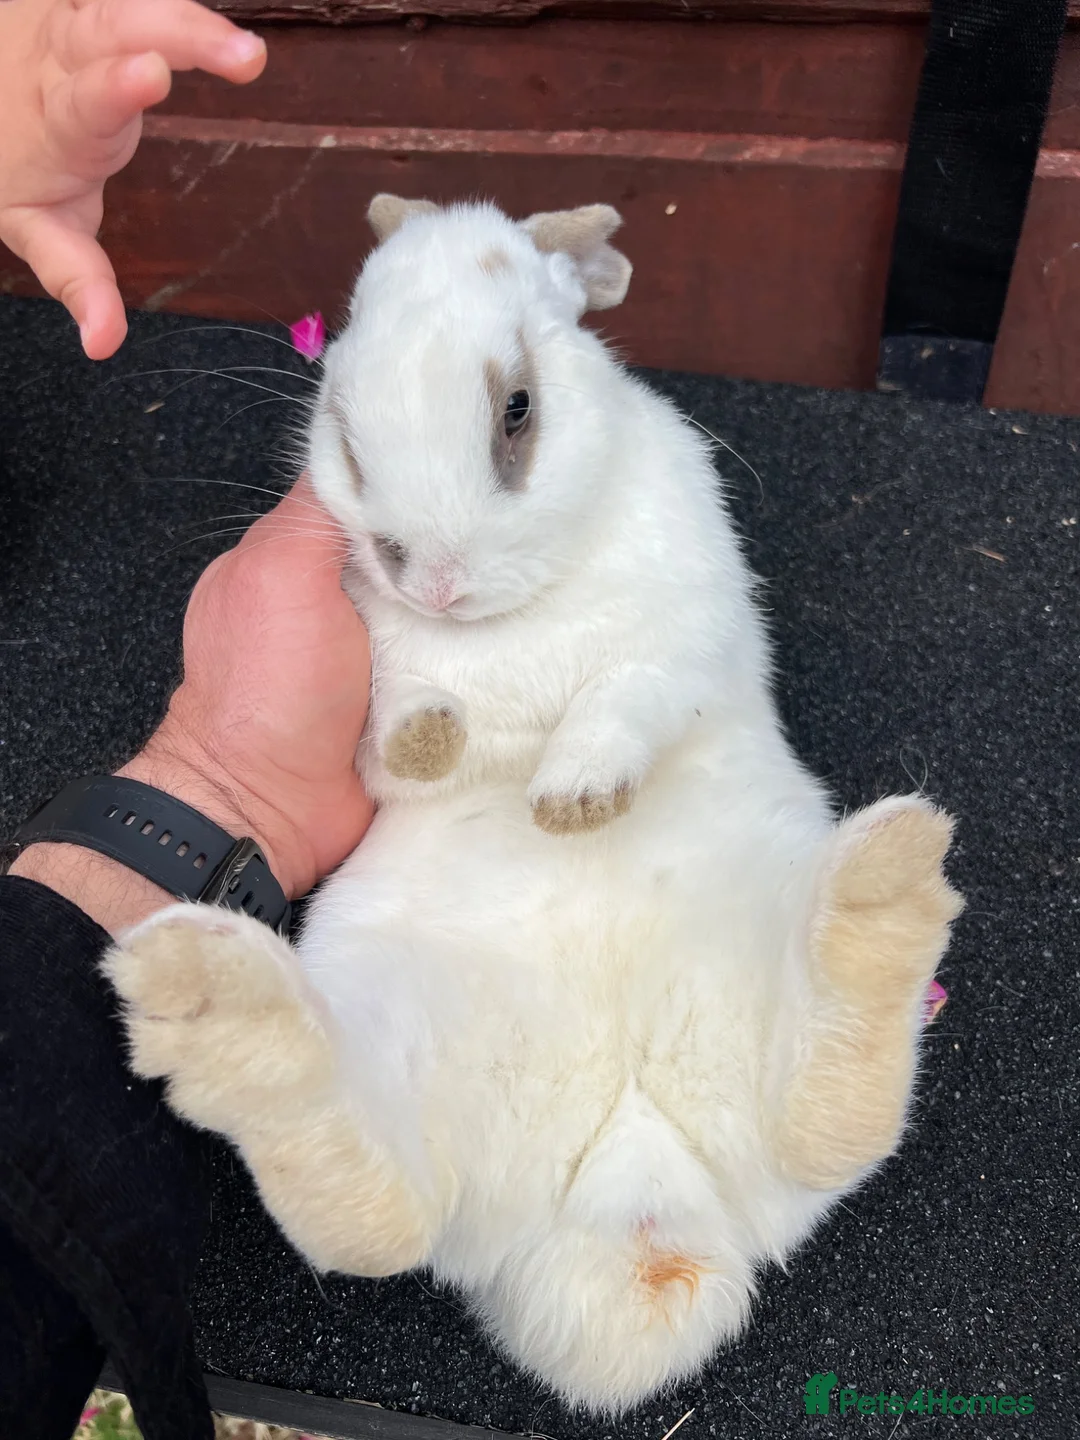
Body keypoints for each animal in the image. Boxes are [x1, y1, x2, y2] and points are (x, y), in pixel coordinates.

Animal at [105, 195, 963, 1414]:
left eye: (517, 410)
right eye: (344, 432)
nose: (429, 577)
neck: (512, 613)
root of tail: (636, 1200)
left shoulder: (677, 642)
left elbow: (621, 704)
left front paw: (574, 803)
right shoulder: (376, 673)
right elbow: (395, 736)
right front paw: (438, 739)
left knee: (824, 1123)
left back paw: (883, 893)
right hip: (412, 1037)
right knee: (376, 1207)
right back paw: (211, 1003)